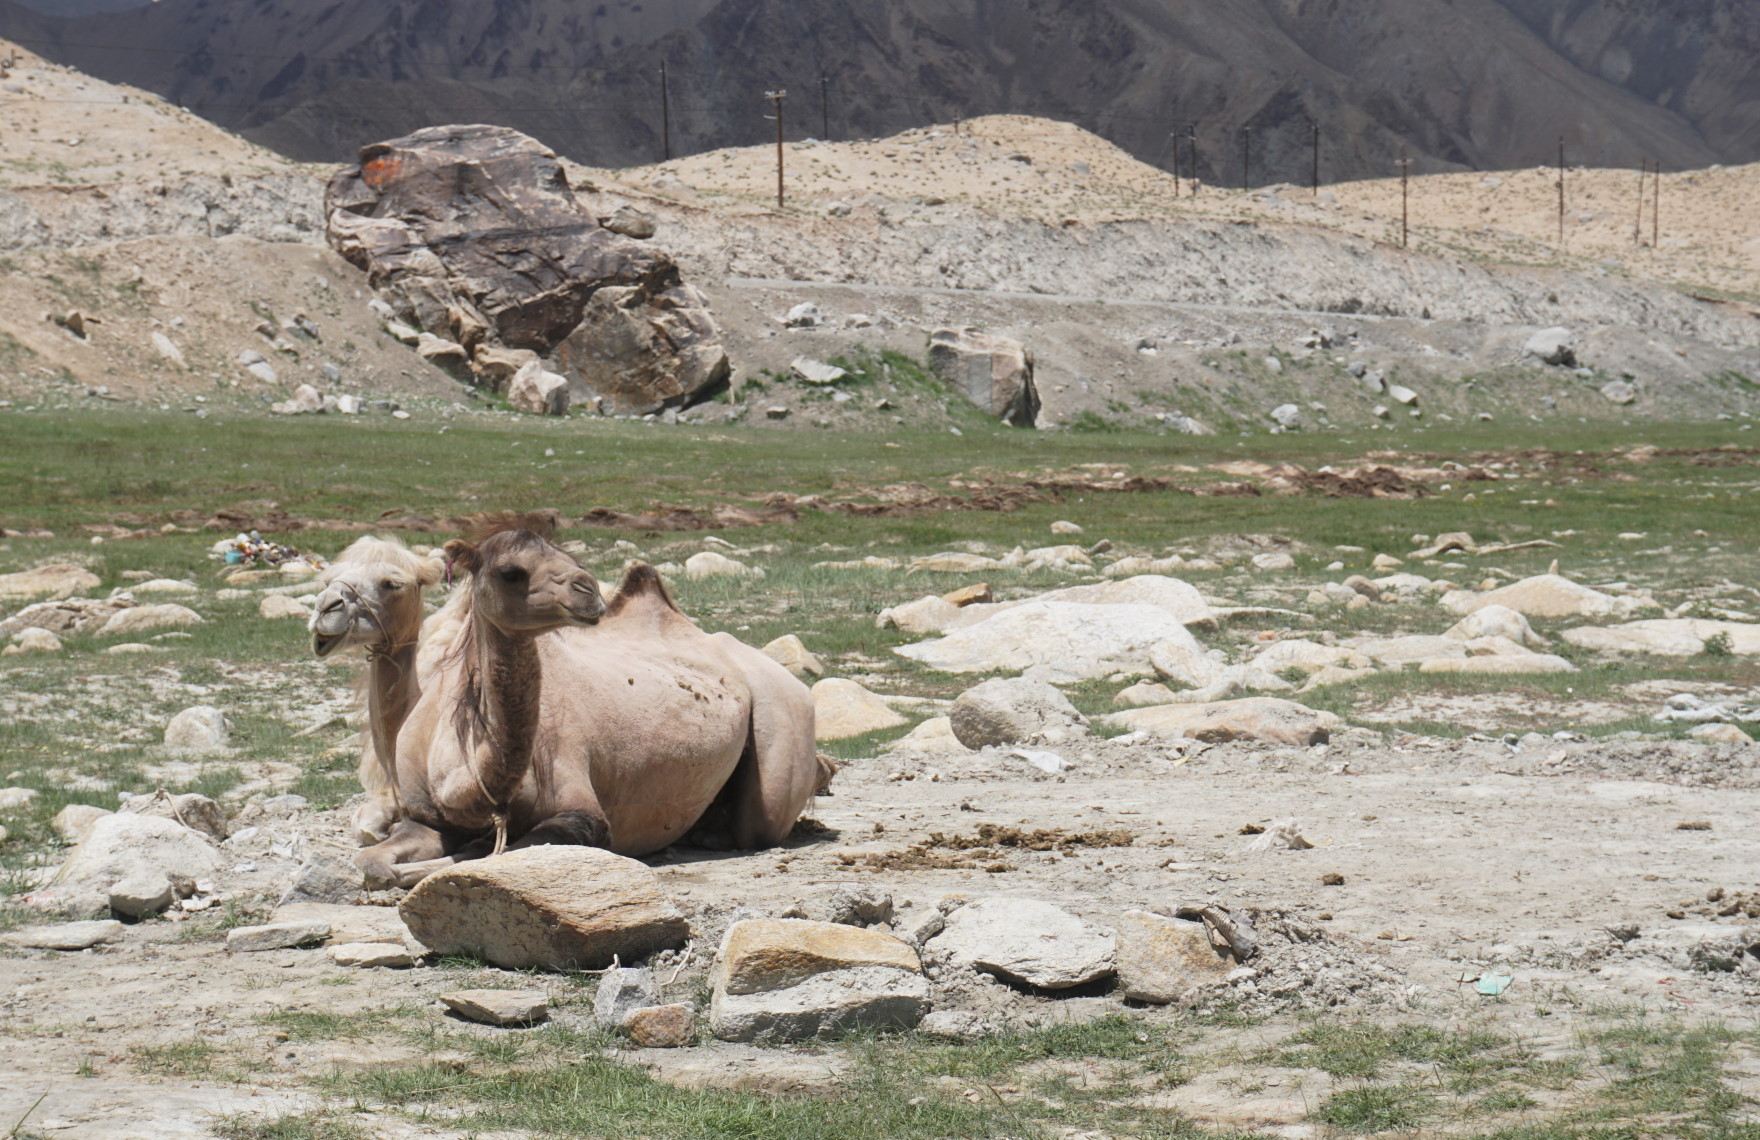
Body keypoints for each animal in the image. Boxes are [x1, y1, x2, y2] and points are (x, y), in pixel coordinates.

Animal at [355, 515, 821, 888]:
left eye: (566, 557)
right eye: (510, 572)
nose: (588, 590)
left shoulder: (581, 811)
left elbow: (491, 855)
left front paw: (460, 856)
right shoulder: (423, 816)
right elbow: (372, 862)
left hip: (783, 720)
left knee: (760, 823)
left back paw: (716, 834)